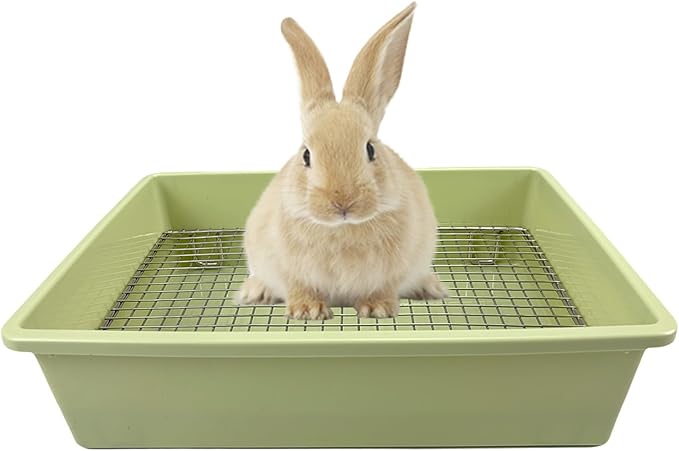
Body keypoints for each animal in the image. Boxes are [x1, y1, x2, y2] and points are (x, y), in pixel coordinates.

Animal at [238, 2, 447, 320]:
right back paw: (255, 292)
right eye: (306, 154)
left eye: (370, 149)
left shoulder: (393, 271)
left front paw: (377, 309)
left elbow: (383, 288)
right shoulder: (289, 269)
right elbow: (298, 287)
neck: (341, 229)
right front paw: (307, 311)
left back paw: (431, 288)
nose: (343, 201)